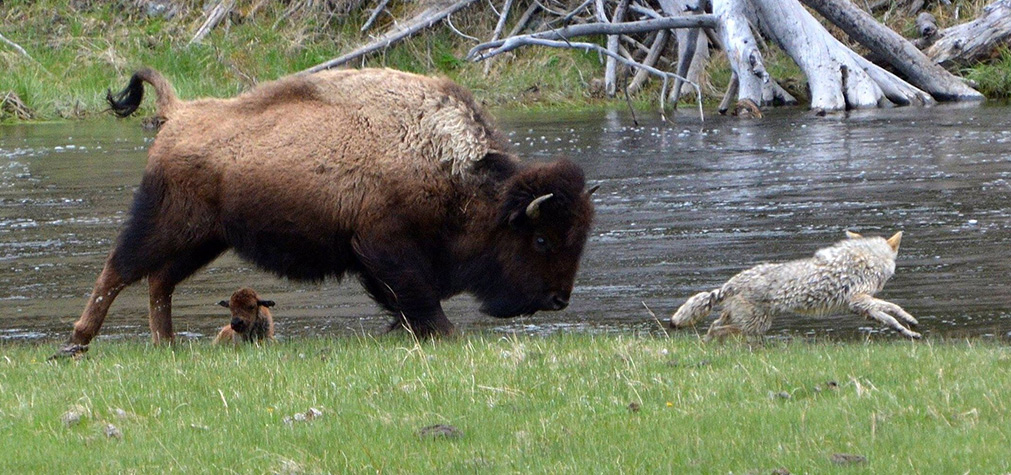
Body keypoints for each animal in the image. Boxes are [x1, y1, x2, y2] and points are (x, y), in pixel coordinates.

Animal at [57, 67, 590, 355]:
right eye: (541, 238)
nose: (559, 299)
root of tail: (179, 114)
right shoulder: (385, 246)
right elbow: (417, 296)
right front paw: (444, 333)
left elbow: (405, 300)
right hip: (167, 224)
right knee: (120, 270)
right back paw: (77, 344)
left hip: (205, 240)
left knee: (159, 281)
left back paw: (165, 345)